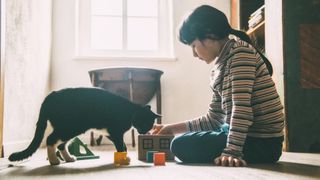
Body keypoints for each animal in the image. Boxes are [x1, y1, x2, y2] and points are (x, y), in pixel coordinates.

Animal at [8, 87, 160, 165]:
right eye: (145, 123)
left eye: (150, 125)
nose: (145, 131)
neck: (130, 111)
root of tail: (51, 95)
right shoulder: (116, 132)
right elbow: (121, 145)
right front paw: (123, 157)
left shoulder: (110, 133)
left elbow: (122, 145)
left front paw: (124, 154)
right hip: (69, 127)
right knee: (51, 140)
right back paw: (54, 161)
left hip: (71, 129)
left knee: (61, 144)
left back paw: (69, 159)